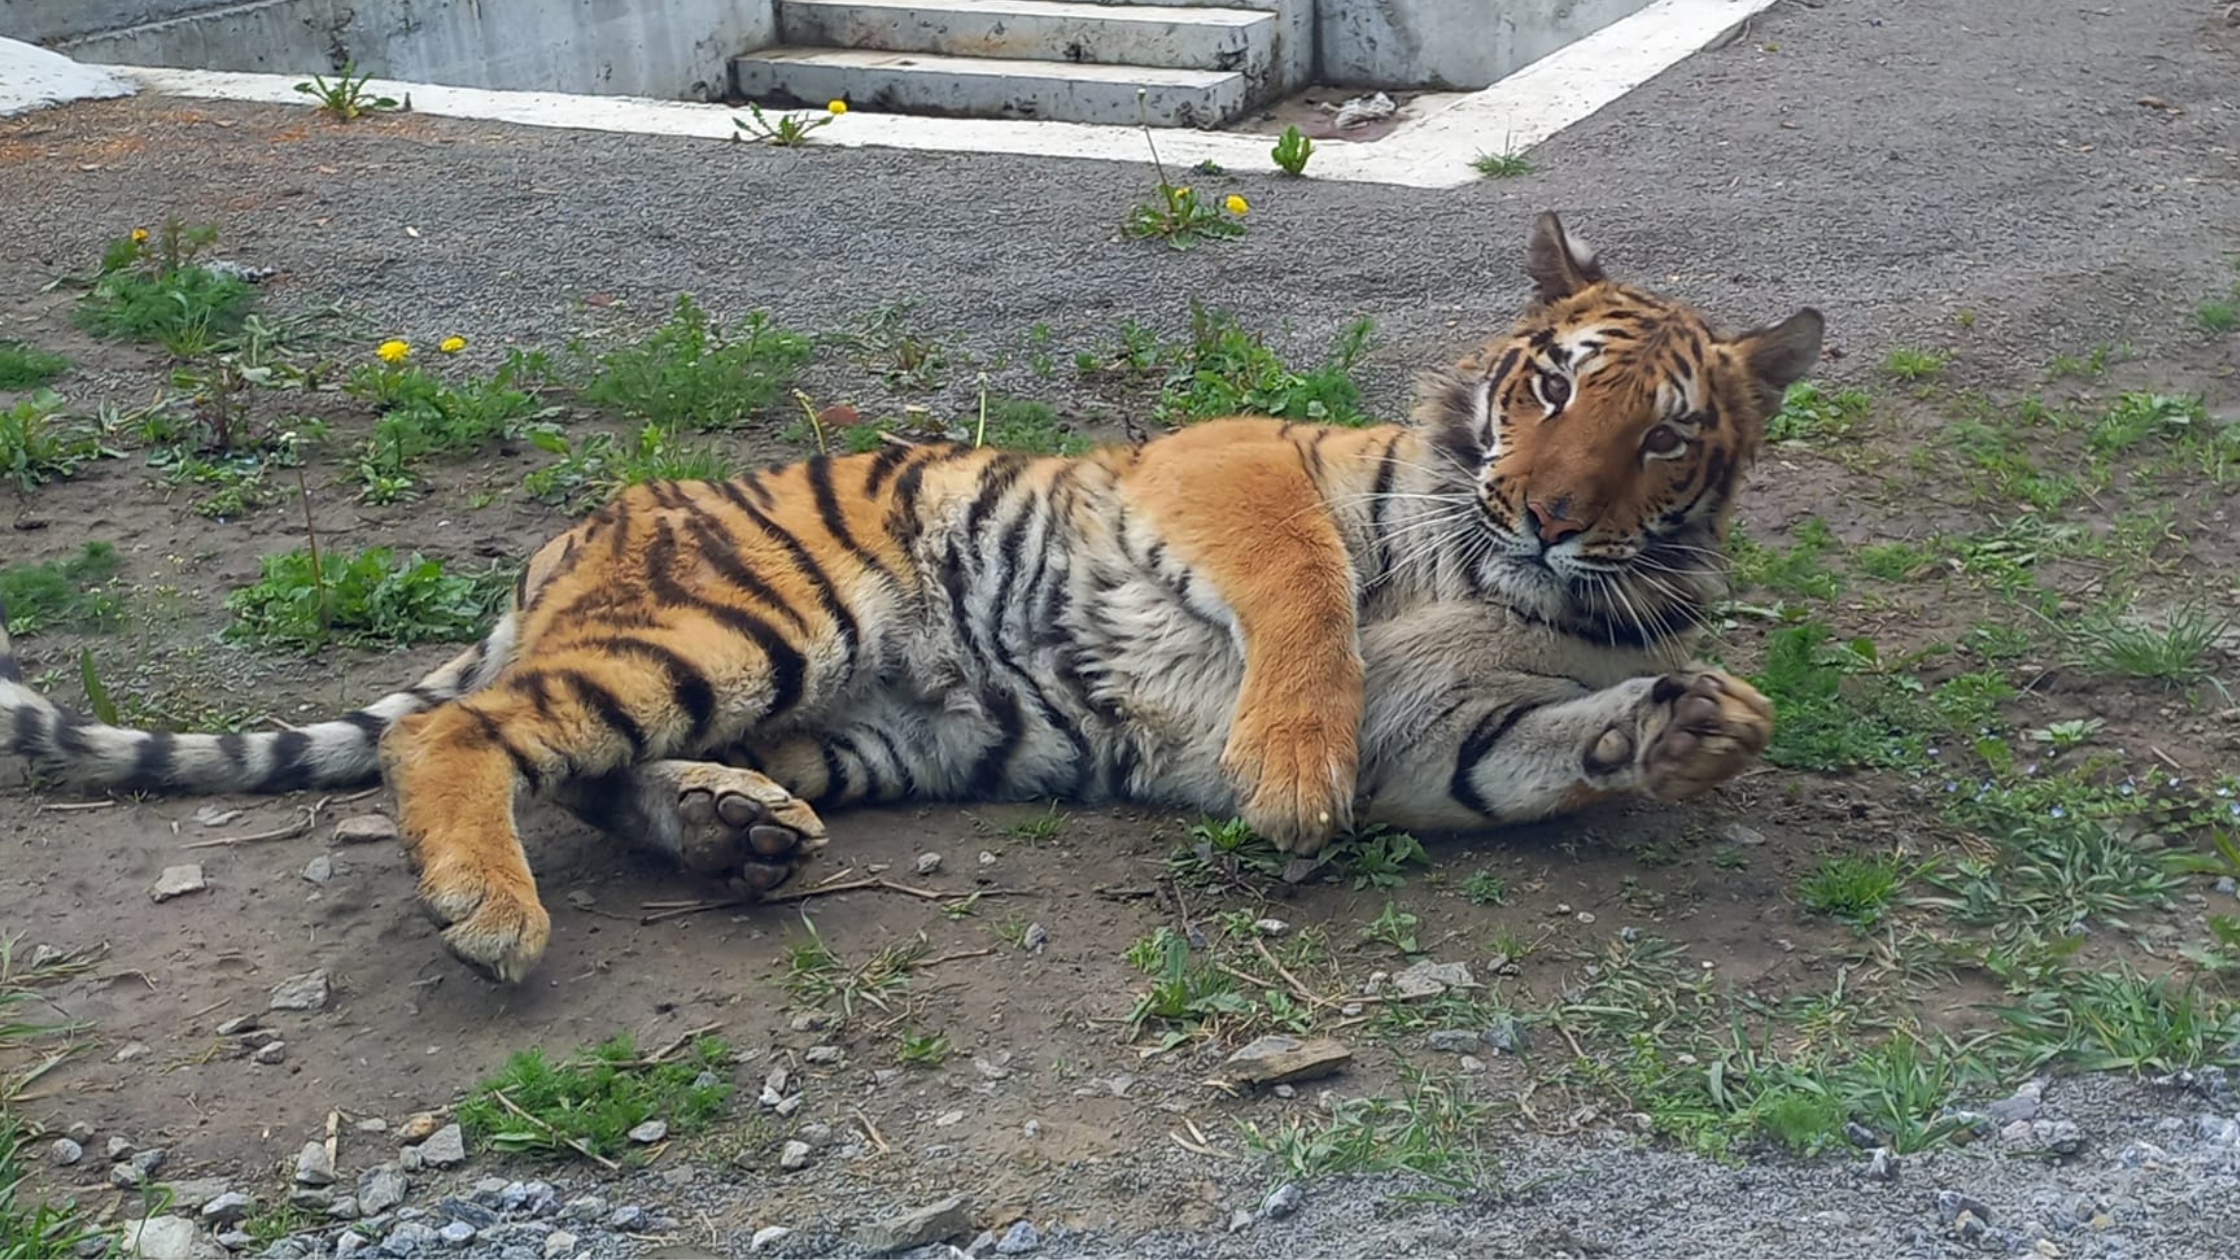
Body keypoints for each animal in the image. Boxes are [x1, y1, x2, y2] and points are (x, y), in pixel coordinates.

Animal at [0, 212, 1818, 981]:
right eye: (1549, 386)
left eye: (1662, 435)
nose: (1549, 513)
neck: (1496, 562)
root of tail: (568, 537)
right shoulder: (1221, 465)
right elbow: (1306, 599)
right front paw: (1286, 776)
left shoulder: (1443, 734)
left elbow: (1542, 751)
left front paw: (1704, 721)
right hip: (744, 622)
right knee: (457, 731)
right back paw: (492, 914)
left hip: (839, 731)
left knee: (586, 774)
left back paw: (728, 832)